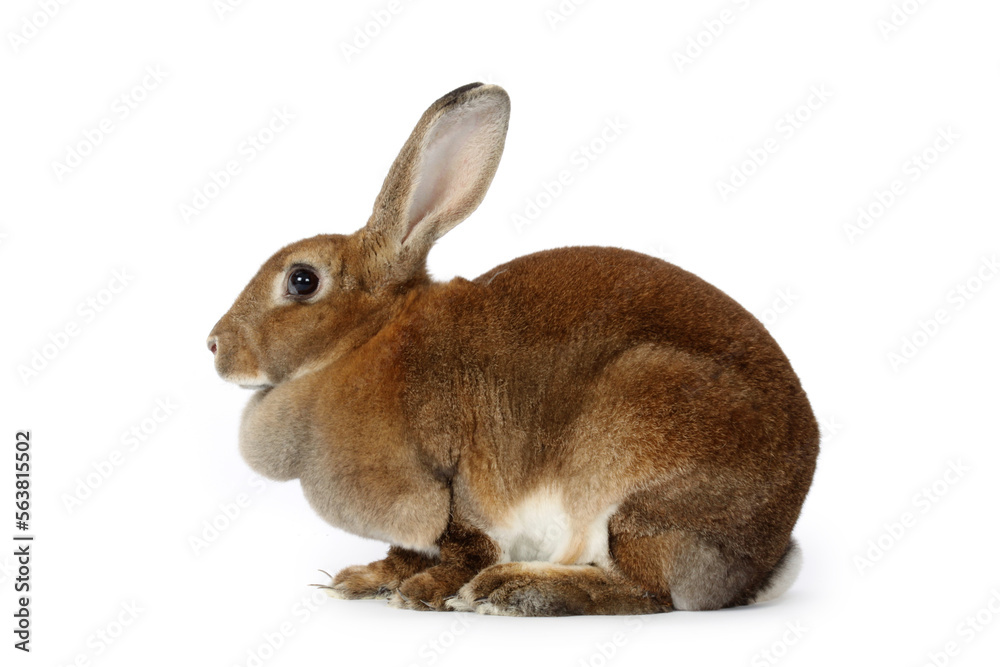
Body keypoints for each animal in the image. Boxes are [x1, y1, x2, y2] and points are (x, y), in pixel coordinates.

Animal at [207, 82, 819, 616]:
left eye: (302, 280)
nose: (214, 345)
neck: (369, 337)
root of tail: (761, 561)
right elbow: (403, 552)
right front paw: (363, 580)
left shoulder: (451, 485)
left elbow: (462, 544)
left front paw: (423, 592)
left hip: (637, 462)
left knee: (646, 591)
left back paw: (508, 591)